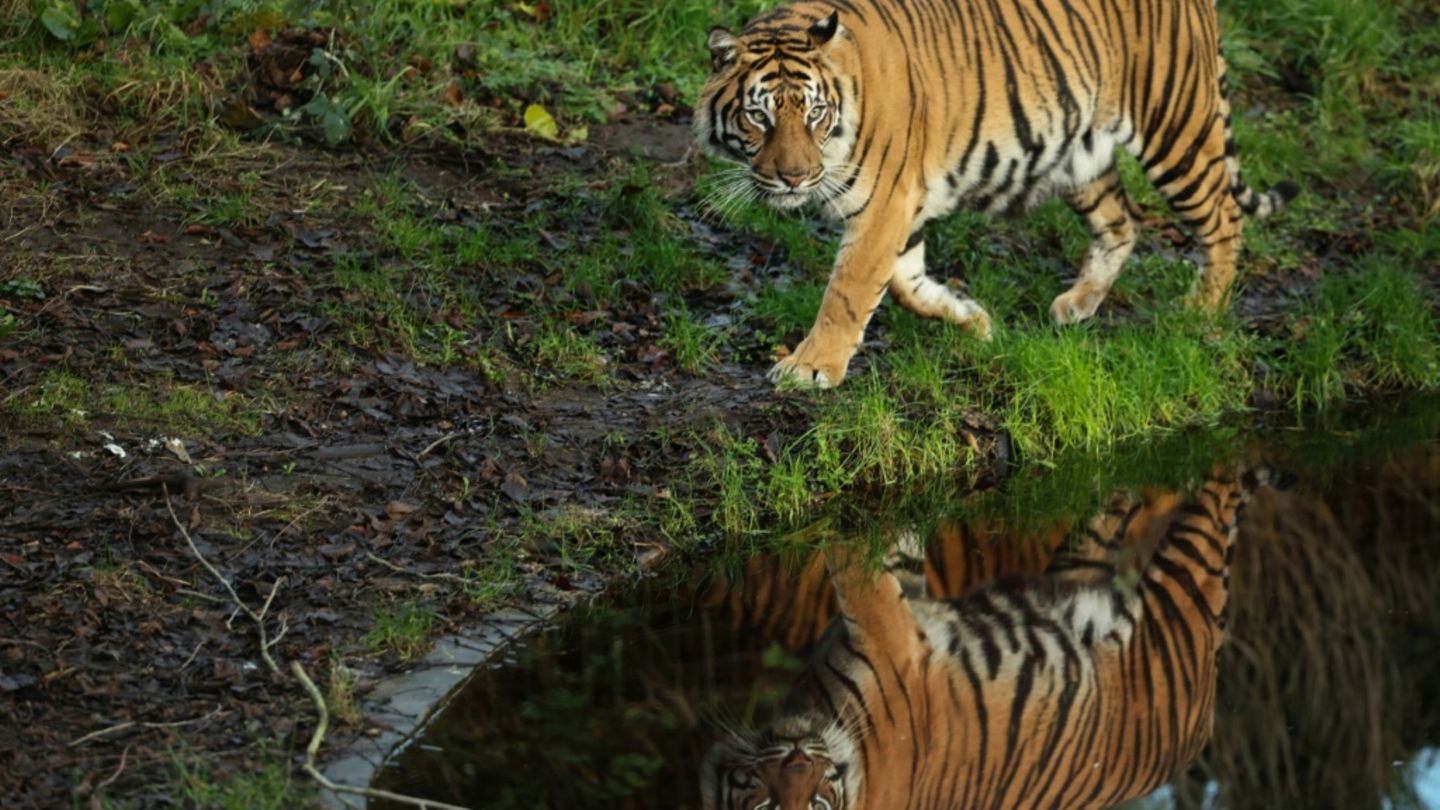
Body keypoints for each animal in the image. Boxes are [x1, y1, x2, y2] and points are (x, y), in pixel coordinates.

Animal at [694, 1, 1299, 388]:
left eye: (814, 113)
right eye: (759, 116)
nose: (795, 178)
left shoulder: (886, 200)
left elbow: (848, 290)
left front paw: (811, 368)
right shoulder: (900, 206)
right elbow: (906, 283)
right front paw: (973, 320)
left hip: (1175, 125)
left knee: (1223, 217)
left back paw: (1200, 310)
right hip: (1079, 153)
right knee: (1124, 222)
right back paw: (1077, 304)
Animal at [700, 468, 1279, 809]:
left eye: (815, 799)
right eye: (771, 805)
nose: (801, 762)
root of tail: (1200, 732)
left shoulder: (900, 613)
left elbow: (882, 547)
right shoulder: (893, 634)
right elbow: (855, 566)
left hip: (1076, 566)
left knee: (1113, 506)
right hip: (1182, 595)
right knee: (1216, 498)